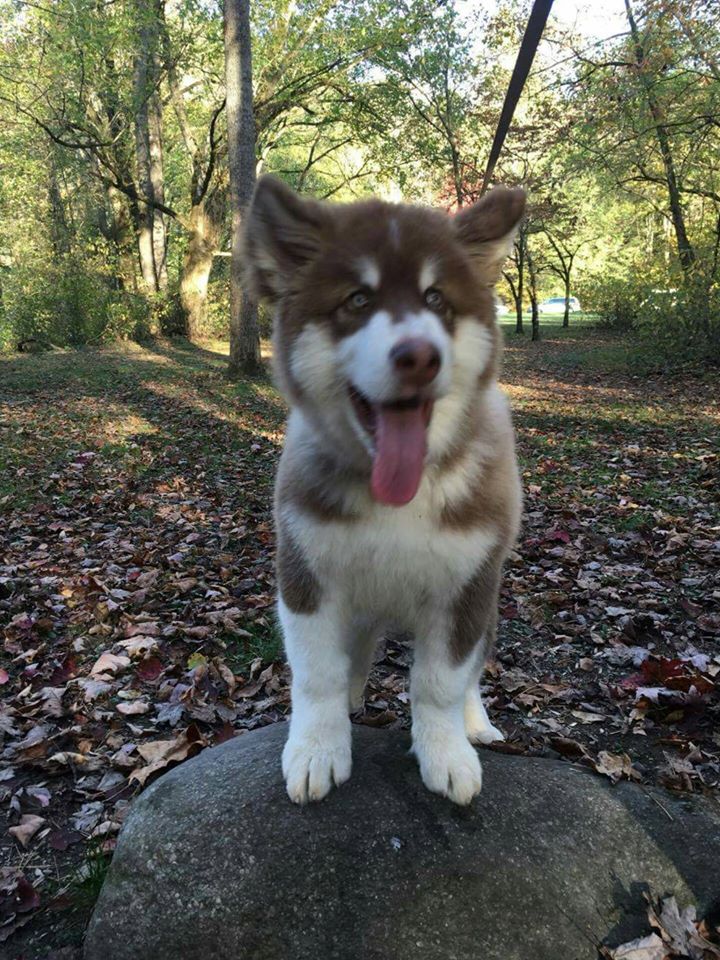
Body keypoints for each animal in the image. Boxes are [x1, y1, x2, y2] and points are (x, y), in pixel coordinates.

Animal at [242, 176, 524, 808]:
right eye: (357, 300)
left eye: (437, 299)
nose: (419, 357)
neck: (400, 498)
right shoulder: (307, 572)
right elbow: (317, 672)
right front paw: (317, 749)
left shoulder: (466, 586)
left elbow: (442, 681)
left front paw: (446, 753)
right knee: (354, 656)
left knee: (473, 672)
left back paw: (476, 724)